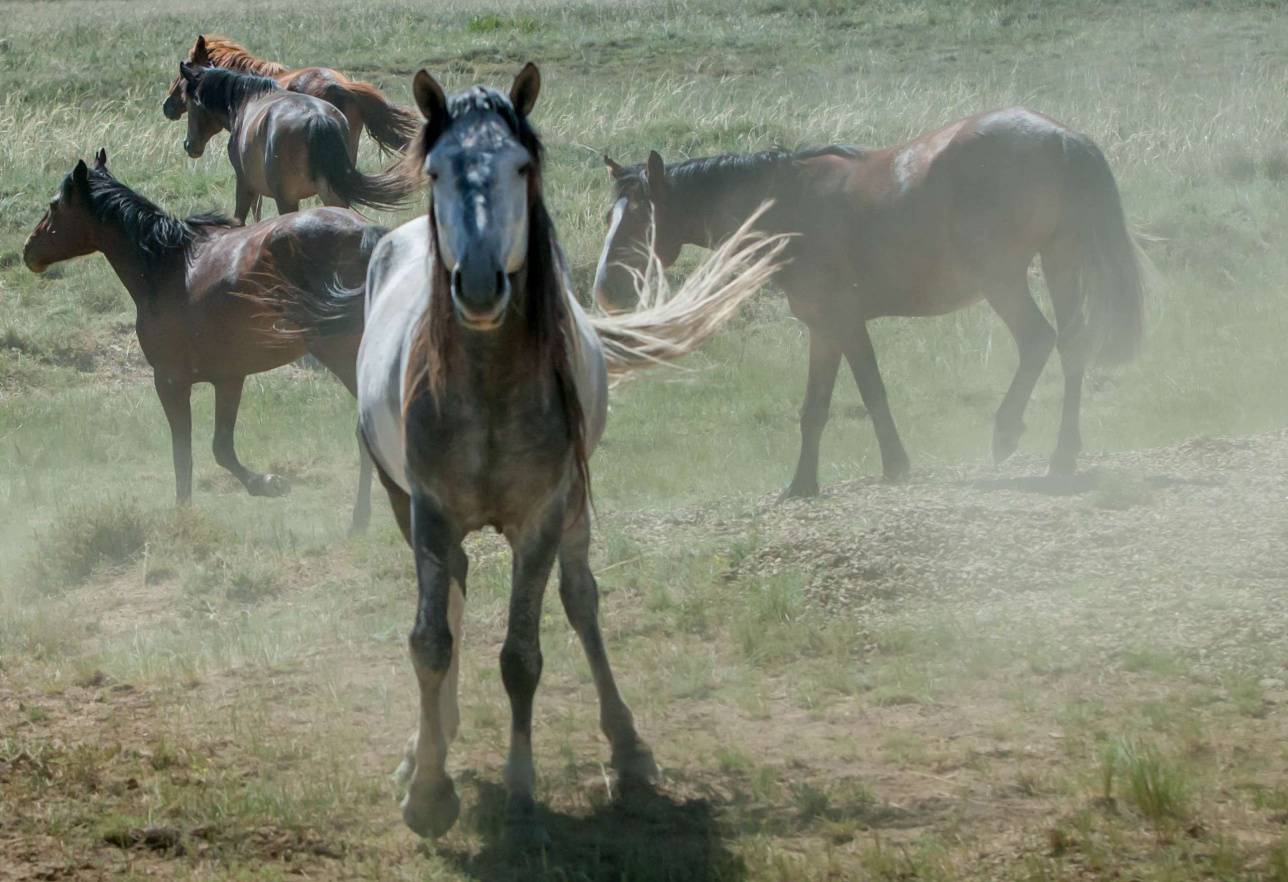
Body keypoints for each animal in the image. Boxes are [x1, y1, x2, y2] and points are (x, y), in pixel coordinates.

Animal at [22, 150, 381, 530]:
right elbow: (221, 448)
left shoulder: (170, 381)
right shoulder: (229, 378)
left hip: (342, 354)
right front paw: (268, 484)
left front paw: (185, 514)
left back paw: (359, 521)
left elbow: (183, 455)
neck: (166, 267)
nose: (28, 250)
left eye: (55, 205)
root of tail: (365, 234)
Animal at [179, 63, 412, 224]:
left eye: (189, 102)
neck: (247, 100)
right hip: (332, 195)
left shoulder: (245, 184)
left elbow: (242, 218)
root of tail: (318, 118)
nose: (189, 145)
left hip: (287, 200)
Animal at [337, 63, 777, 839]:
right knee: (453, 599)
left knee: (581, 601)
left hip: (573, 508)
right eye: (438, 169)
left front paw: (521, 787)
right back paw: (431, 739)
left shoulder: (542, 517)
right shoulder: (427, 511)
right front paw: (427, 788)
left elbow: (521, 654)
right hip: (406, 505)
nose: (481, 284)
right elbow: (430, 640)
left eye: (521, 165)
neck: (485, 386)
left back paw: (628, 750)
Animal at [595, 105, 1148, 491]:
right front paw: (815, 482)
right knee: (1072, 346)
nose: (605, 289)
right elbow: (829, 404)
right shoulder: (828, 327)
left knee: (1038, 340)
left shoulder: (839, 321)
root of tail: (1062, 137)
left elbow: (858, 396)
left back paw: (1008, 431)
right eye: (608, 217)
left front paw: (882, 468)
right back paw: (1063, 455)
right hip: (1060, 261)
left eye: (644, 219)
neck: (790, 203)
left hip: (1004, 279)